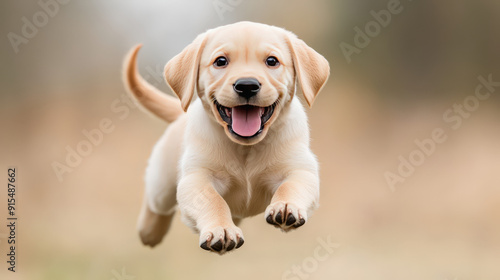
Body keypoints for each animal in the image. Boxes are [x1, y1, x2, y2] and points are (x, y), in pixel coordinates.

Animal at [123, 20, 330, 255]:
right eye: (220, 61)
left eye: (272, 61)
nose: (247, 85)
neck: (246, 147)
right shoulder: (196, 178)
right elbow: (214, 200)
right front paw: (221, 230)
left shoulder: (301, 168)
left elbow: (291, 185)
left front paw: (286, 206)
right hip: (162, 183)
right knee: (155, 203)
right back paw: (149, 232)